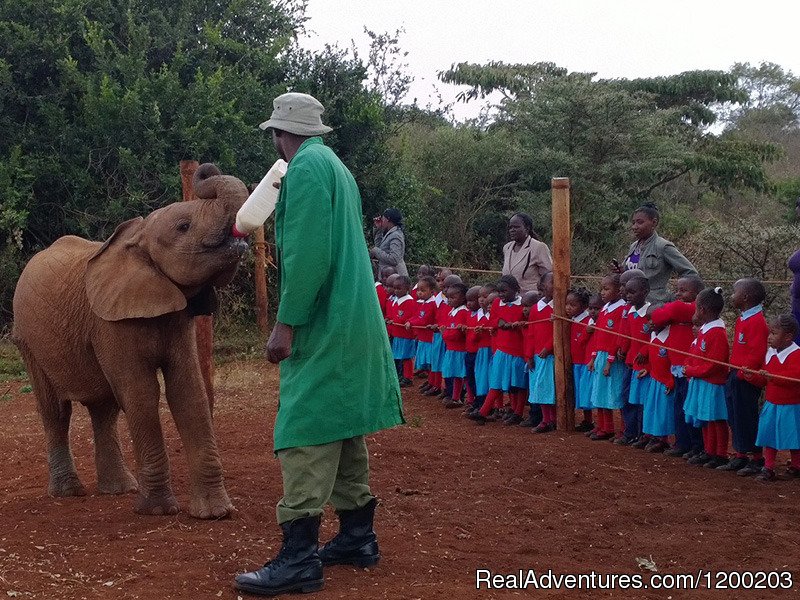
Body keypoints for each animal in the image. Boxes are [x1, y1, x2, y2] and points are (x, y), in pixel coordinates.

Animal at [12, 164, 247, 520]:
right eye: (184, 226)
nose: (207, 169)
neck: (139, 239)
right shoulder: (110, 323)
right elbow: (141, 393)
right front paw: (158, 512)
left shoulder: (177, 320)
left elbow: (187, 392)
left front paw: (215, 514)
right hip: (28, 340)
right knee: (56, 411)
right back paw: (69, 493)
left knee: (104, 408)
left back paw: (120, 490)